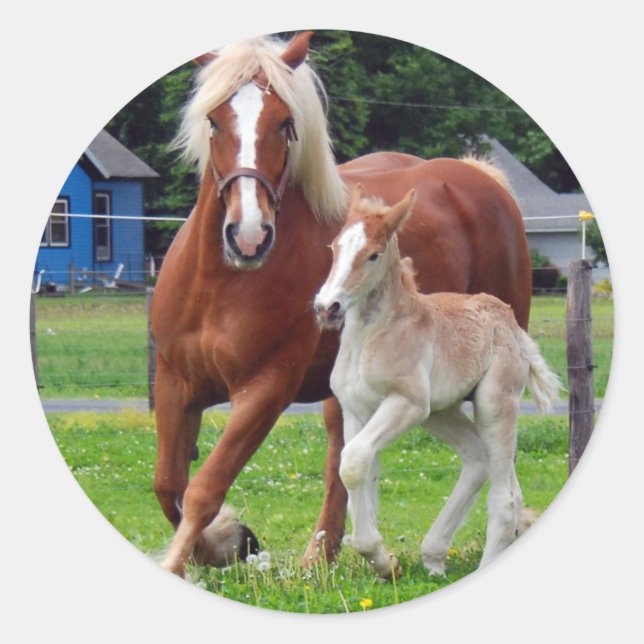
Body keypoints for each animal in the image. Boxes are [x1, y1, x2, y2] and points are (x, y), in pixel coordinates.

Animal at [152, 31, 532, 577]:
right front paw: (227, 542)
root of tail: (479, 179)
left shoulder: (265, 390)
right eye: (214, 120)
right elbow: (169, 486)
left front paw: (203, 549)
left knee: (496, 460)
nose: (249, 236)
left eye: (285, 123)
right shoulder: (173, 382)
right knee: (343, 457)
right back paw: (325, 554)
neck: (219, 285)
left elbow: (204, 488)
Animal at [314, 185, 561, 578]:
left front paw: (381, 558)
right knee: (479, 459)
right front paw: (385, 563)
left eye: (373, 255)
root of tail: (510, 322)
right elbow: (359, 471)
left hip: (492, 404)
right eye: (336, 247)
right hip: (442, 413)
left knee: (505, 497)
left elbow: (352, 463)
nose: (327, 307)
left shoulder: (406, 403)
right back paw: (433, 556)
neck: (372, 336)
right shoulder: (355, 410)